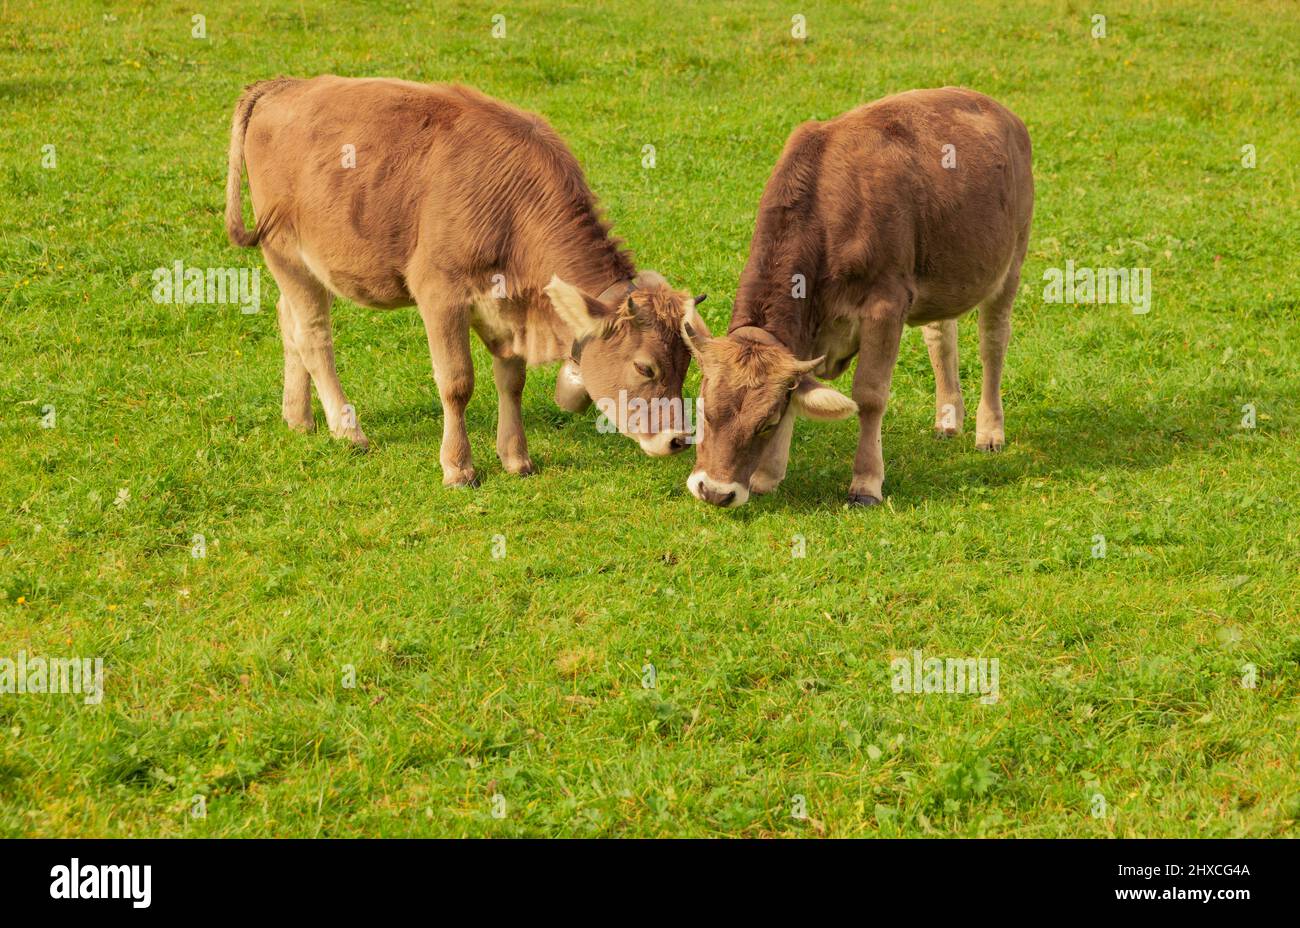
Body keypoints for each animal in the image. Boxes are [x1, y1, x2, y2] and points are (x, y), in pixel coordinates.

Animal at [228, 76, 707, 483]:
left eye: (686, 365)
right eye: (645, 366)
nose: (678, 440)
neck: (516, 206)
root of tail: (280, 86)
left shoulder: (509, 307)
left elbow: (511, 380)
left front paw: (516, 457)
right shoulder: (440, 295)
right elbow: (457, 382)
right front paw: (458, 467)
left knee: (288, 322)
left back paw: (298, 417)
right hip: (287, 253)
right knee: (312, 336)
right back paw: (348, 430)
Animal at [681, 87, 1034, 506]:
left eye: (765, 423)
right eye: (703, 409)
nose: (715, 491)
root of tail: (994, 106)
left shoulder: (886, 304)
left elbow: (870, 395)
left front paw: (866, 483)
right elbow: (798, 387)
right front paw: (768, 475)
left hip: (1011, 260)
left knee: (993, 342)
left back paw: (990, 431)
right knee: (940, 336)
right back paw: (948, 420)